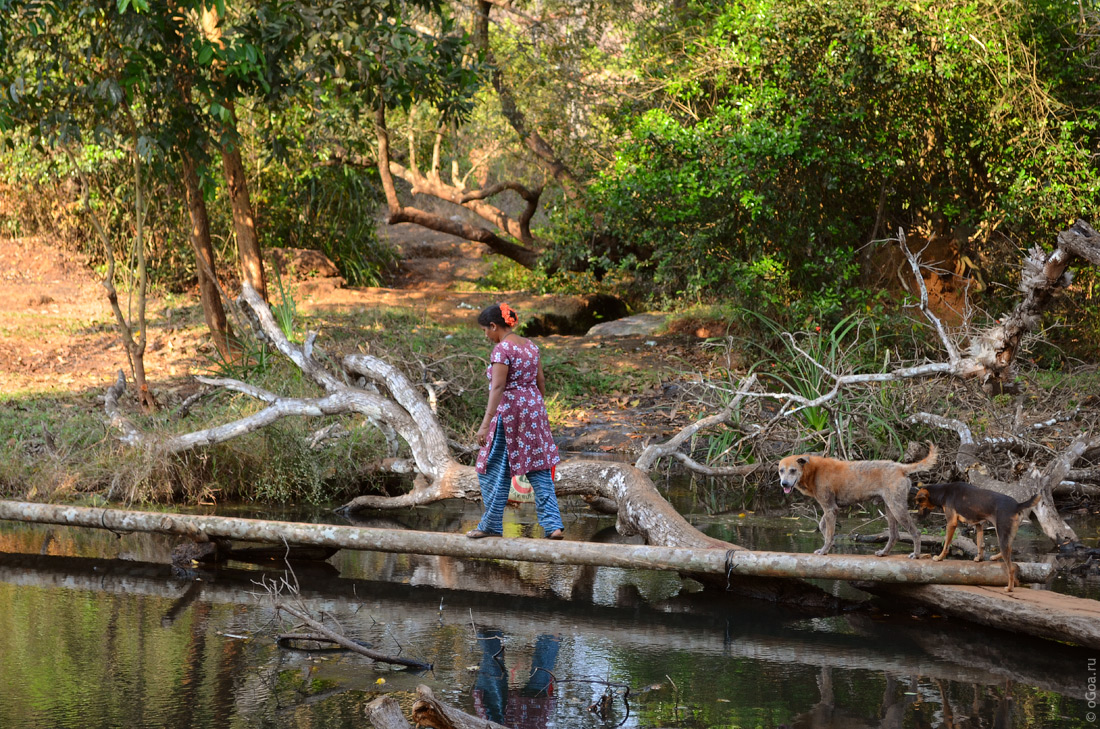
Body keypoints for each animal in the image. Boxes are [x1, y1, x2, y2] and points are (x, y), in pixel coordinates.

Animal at [774, 444, 937, 558]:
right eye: (781, 470)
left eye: (793, 470)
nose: (784, 484)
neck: (813, 471)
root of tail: (900, 467)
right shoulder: (831, 508)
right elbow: (822, 526)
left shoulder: (830, 508)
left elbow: (828, 534)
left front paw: (824, 550)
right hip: (890, 508)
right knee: (894, 535)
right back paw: (884, 553)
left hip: (897, 508)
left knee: (916, 532)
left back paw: (916, 554)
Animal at [910, 483, 1038, 593]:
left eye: (919, 504)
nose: (916, 518)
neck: (943, 491)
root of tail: (1017, 505)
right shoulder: (979, 524)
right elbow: (980, 544)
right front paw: (979, 558)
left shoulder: (951, 523)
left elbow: (946, 544)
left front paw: (939, 557)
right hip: (1007, 533)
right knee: (1009, 548)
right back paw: (995, 557)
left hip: (1001, 532)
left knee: (1010, 567)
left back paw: (1009, 588)